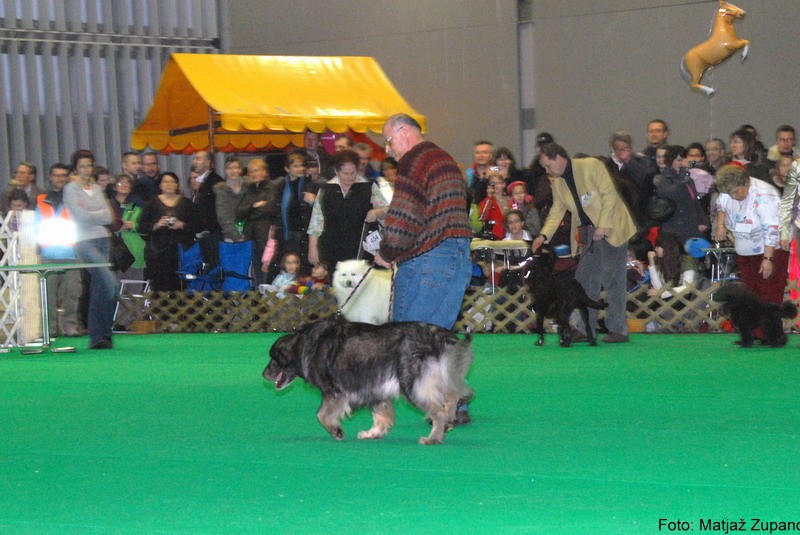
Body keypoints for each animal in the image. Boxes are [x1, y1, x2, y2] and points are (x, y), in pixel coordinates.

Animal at [262, 320, 476, 446]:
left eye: (273, 359)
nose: (264, 374)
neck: (304, 345)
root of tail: (436, 334)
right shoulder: (375, 390)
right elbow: (382, 415)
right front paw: (373, 433)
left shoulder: (335, 392)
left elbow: (321, 415)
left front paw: (336, 431)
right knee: (454, 394)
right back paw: (451, 417)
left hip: (411, 384)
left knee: (438, 410)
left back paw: (433, 437)